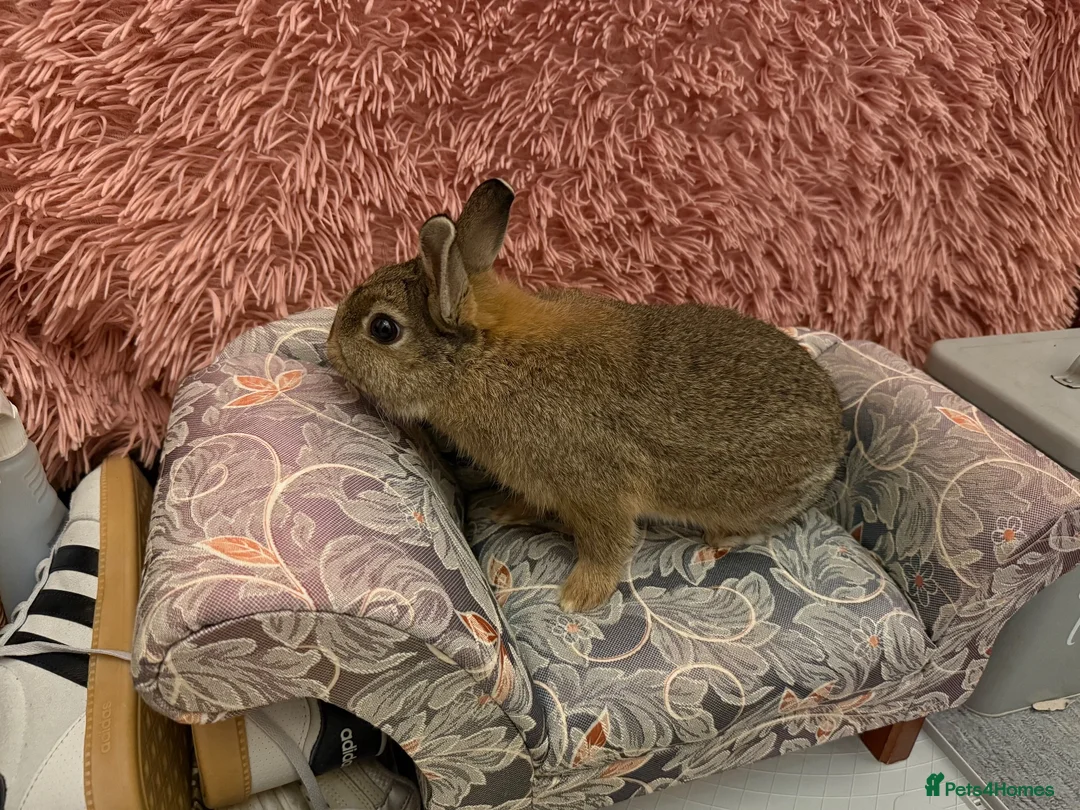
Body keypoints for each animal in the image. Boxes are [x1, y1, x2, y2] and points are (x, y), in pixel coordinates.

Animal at [327, 178, 845, 613]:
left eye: (383, 329)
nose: (330, 347)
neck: (485, 360)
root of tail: (835, 445)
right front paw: (506, 511)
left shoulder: (598, 490)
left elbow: (606, 546)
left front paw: (578, 598)